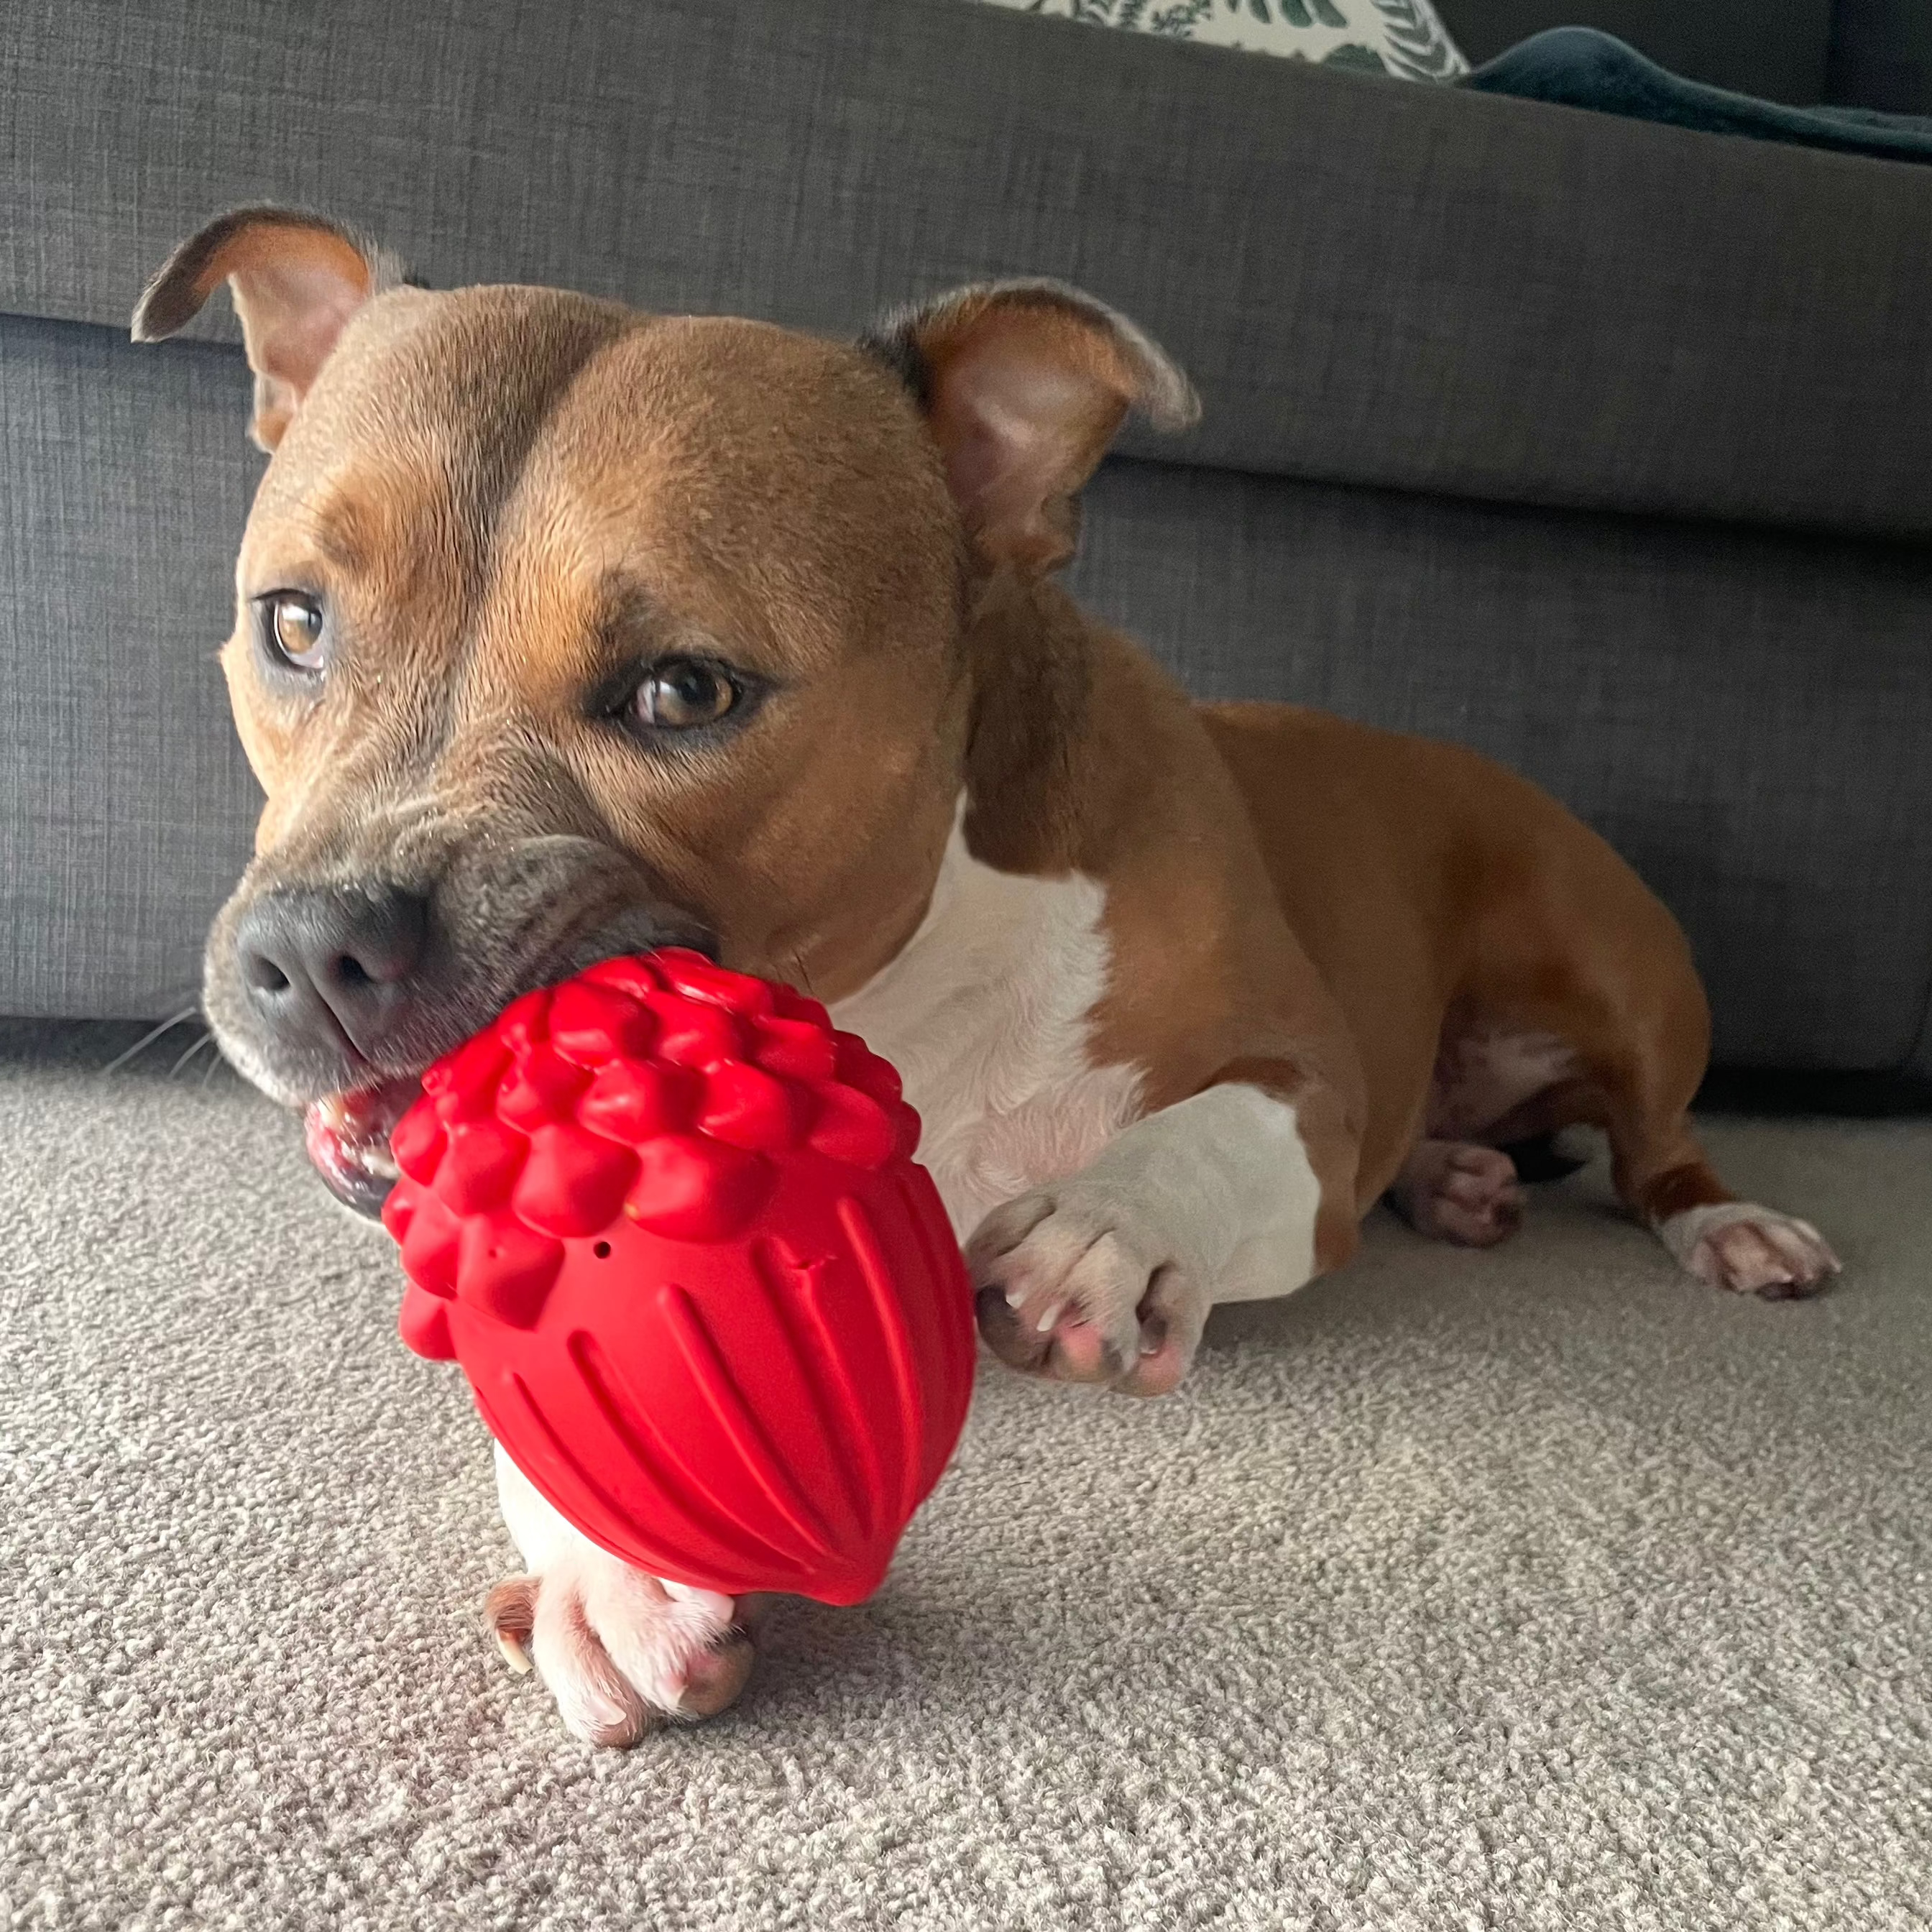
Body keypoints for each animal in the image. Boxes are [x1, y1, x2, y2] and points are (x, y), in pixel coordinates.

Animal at [139, 211, 1839, 1754]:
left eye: (685, 691)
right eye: (292, 623)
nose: (313, 945)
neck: (887, 996)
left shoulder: (1307, 1074)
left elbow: (1201, 1136)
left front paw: (1104, 1236)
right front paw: (605, 1560)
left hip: (1621, 965)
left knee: (1656, 1144)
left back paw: (1730, 1228)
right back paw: (1465, 1181)